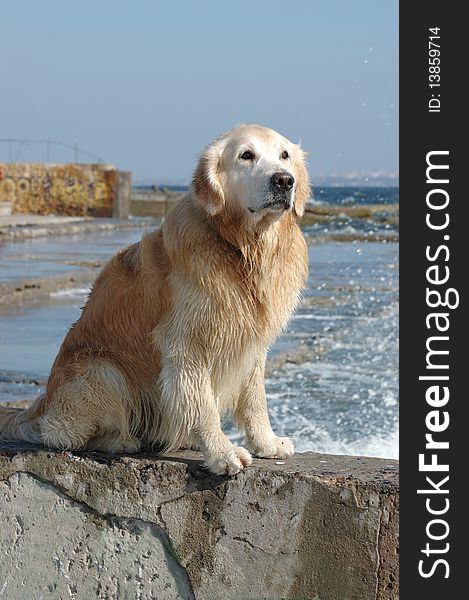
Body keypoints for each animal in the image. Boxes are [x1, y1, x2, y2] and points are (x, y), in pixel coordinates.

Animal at [0, 125, 308, 474]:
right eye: (246, 155)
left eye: (285, 155)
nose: (284, 180)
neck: (241, 248)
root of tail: (39, 408)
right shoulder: (187, 344)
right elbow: (203, 405)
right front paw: (223, 453)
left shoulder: (251, 343)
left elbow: (255, 400)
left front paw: (267, 444)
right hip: (101, 370)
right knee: (63, 436)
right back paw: (120, 440)